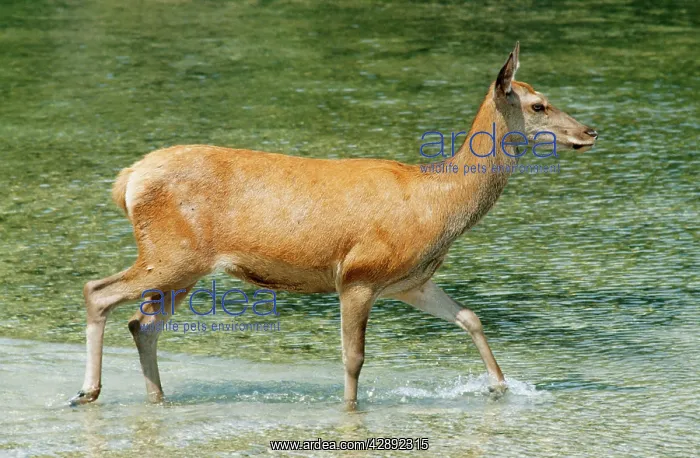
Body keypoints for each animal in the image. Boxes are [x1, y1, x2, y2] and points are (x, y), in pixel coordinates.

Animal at [70, 42, 597, 408]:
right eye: (538, 105)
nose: (590, 131)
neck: (437, 206)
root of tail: (128, 180)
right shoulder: (358, 274)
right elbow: (354, 357)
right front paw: (349, 409)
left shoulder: (409, 281)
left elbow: (471, 316)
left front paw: (501, 387)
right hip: (172, 253)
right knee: (99, 291)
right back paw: (87, 392)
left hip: (184, 267)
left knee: (143, 323)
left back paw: (155, 398)